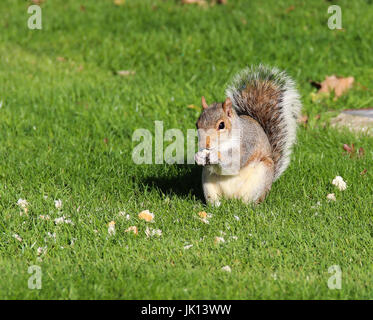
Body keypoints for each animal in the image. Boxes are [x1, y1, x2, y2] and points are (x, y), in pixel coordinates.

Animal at [193, 65, 300, 205]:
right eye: (197, 124)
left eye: (221, 125)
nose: (204, 144)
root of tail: (231, 198)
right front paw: (198, 156)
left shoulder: (248, 142)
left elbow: (236, 160)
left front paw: (215, 156)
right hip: (208, 184)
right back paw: (216, 205)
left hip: (261, 177)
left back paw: (248, 205)